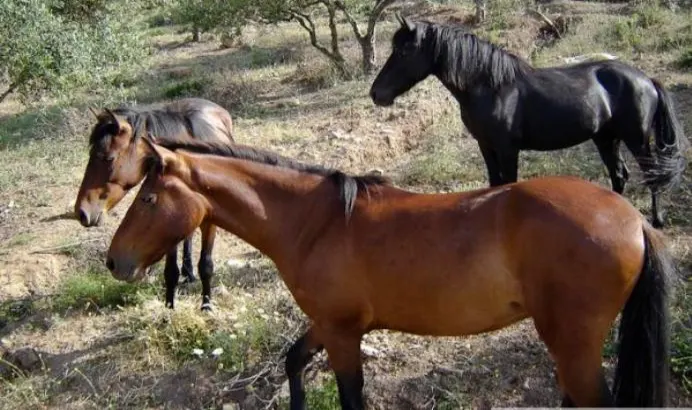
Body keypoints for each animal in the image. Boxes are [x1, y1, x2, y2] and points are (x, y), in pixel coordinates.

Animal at [74, 98, 234, 311]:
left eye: (108, 158)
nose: (82, 212)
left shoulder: (210, 223)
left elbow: (206, 265)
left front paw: (207, 305)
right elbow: (171, 271)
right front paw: (170, 306)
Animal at [106, 137, 674, 408]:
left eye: (148, 198)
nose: (114, 261)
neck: (316, 223)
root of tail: (635, 220)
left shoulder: (342, 334)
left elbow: (351, 398)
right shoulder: (329, 325)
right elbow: (293, 363)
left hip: (573, 345)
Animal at [369, 16, 688, 228]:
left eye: (403, 51)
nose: (376, 94)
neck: (491, 87)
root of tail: (646, 79)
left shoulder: (507, 149)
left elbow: (508, 185)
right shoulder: (486, 146)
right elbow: (493, 184)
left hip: (636, 139)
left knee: (651, 174)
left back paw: (657, 220)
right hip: (605, 138)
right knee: (619, 175)